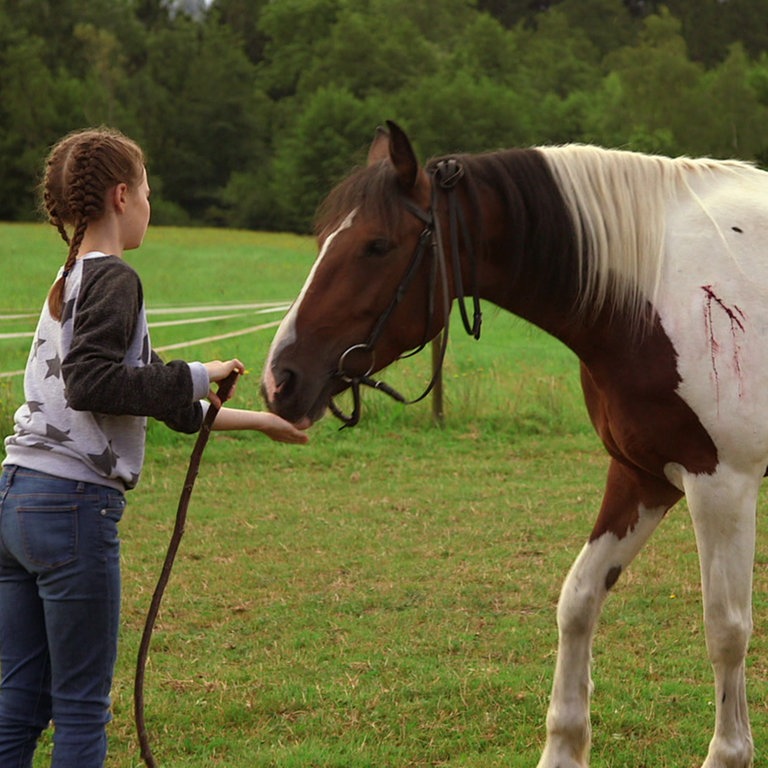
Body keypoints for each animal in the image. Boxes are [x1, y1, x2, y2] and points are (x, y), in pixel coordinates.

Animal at [260, 121, 764, 768]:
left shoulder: (722, 484)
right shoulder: (642, 475)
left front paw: (729, 752)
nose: (280, 380)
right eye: (324, 239)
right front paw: (563, 748)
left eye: (377, 245)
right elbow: (578, 601)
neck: (656, 286)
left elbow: (726, 630)